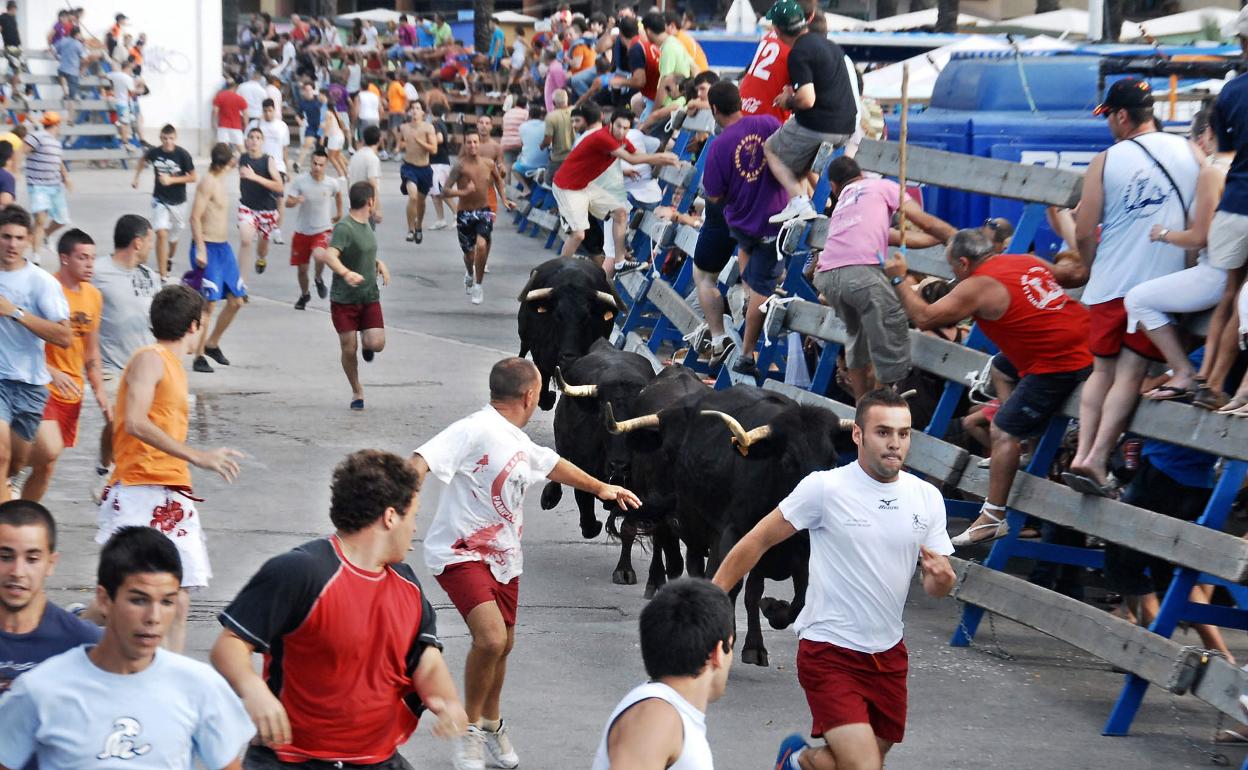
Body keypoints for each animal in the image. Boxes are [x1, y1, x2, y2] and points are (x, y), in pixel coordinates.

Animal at [606, 386, 858, 663]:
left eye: (832, 459)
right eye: (789, 461)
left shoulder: (800, 550)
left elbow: (799, 598)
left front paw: (773, 610)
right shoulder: (732, 535)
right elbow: (732, 584)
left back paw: (754, 645)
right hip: (691, 526)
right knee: (692, 566)